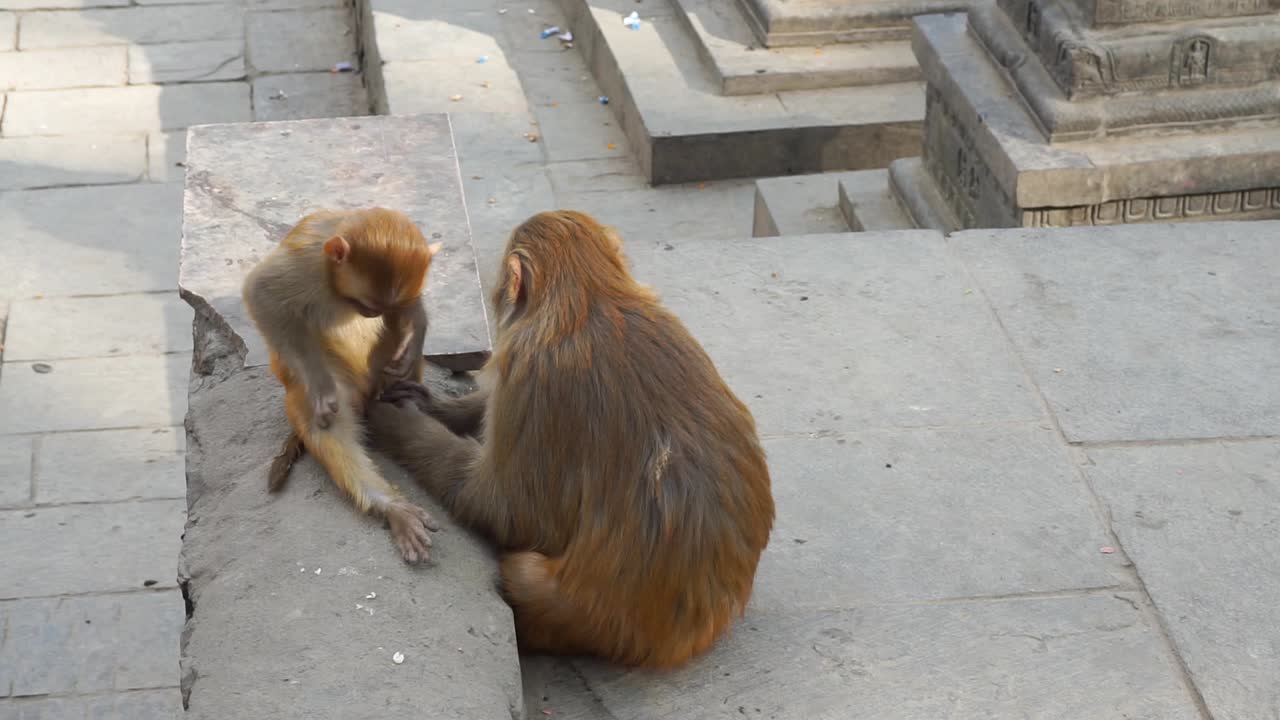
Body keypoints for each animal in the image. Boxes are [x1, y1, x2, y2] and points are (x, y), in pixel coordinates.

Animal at [241, 207, 443, 564]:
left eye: (383, 307)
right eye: (367, 305)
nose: (376, 313)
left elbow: (411, 314)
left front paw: (416, 330)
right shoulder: (305, 265)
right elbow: (261, 292)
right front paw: (322, 387)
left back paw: (402, 396)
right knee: (328, 425)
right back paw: (390, 506)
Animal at [367, 209, 775, 668]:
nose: (496, 295)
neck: (592, 298)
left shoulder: (531, 368)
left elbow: (506, 507)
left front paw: (401, 424)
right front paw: (438, 406)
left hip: (579, 618)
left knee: (522, 570)